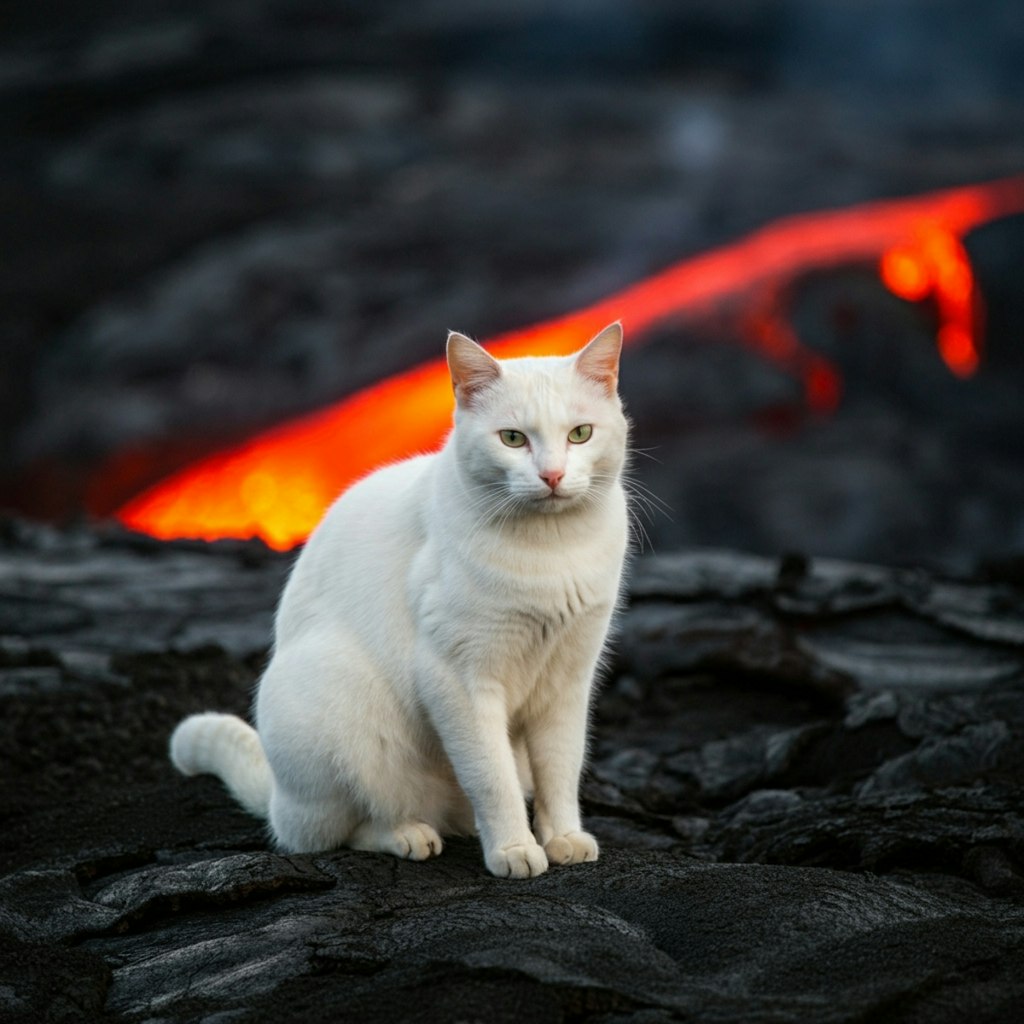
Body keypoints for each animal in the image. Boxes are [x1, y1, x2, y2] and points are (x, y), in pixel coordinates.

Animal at [172, 321, 626, 880]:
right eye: (513, 438)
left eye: (580, 434)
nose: (553, 476)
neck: (552, 551)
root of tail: (278, 794)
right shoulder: (458, 679)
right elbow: (492, 777)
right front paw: (514, 849)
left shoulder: (567, 681)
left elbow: (561, 768)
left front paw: (562, 837)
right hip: (331, 703)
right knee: (329, 834)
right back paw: (410, 834)